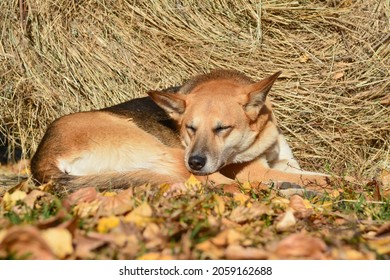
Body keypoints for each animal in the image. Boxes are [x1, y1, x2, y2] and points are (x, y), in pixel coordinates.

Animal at [30, 70, 330, 192]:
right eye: (190, 128)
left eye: (223, 128)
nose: (196, 161)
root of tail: (42, 159)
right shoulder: (256, 171)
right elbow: (327, 179)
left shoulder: (285, 163)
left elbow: (315, 175)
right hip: (164, 149)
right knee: (224, 185)